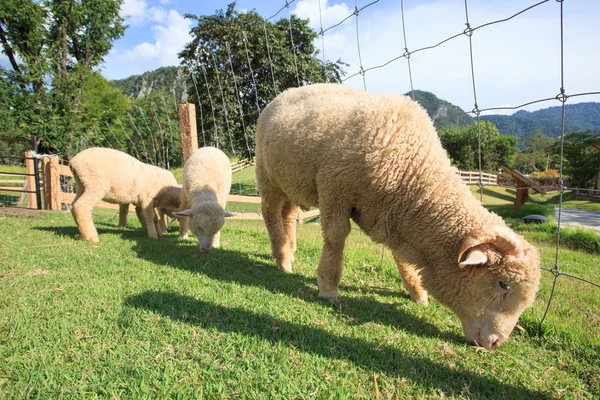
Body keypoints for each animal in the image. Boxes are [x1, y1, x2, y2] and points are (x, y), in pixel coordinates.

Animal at [255, 83, 540, 348]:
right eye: (503, 284)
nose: (495, 343)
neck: (410, 170)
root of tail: (283, 94)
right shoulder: (334, 187)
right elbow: (336, 238)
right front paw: (328, 288)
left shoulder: (392, 216)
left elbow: (402, 260)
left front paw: (417, 293)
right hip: (267, 175)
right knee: (270, 213)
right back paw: (282, 257)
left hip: (290, 180)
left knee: (288, 214)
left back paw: (290, 251)